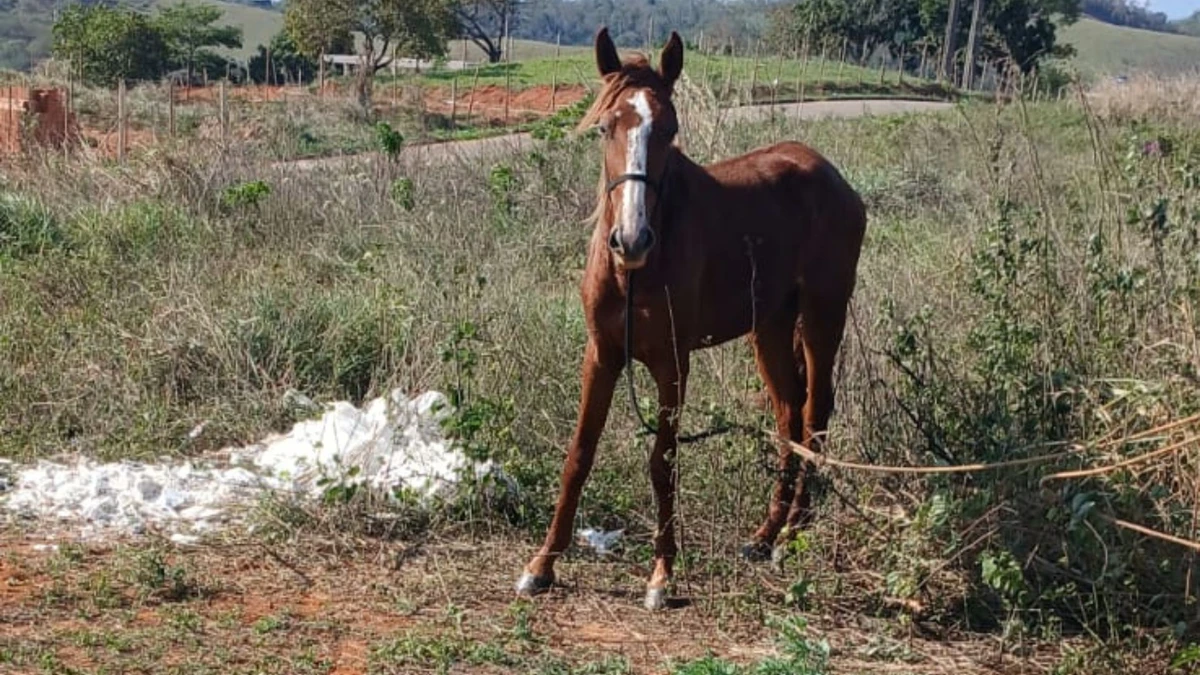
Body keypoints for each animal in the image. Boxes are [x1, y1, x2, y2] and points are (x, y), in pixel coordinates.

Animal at [514, 26, 867, 610]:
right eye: (606, 126)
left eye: (670, 128)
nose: (632, 238)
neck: (633, 274)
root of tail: (832, 177)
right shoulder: (602, 355)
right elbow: (579, 455)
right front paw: (542, 565)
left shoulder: (672, 363)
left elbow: (663, 463)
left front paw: (662, 574)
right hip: (770, 329)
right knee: (788, 416)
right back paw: (763, 535)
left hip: (822, 318)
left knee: (815, 416)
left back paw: (791, 537)